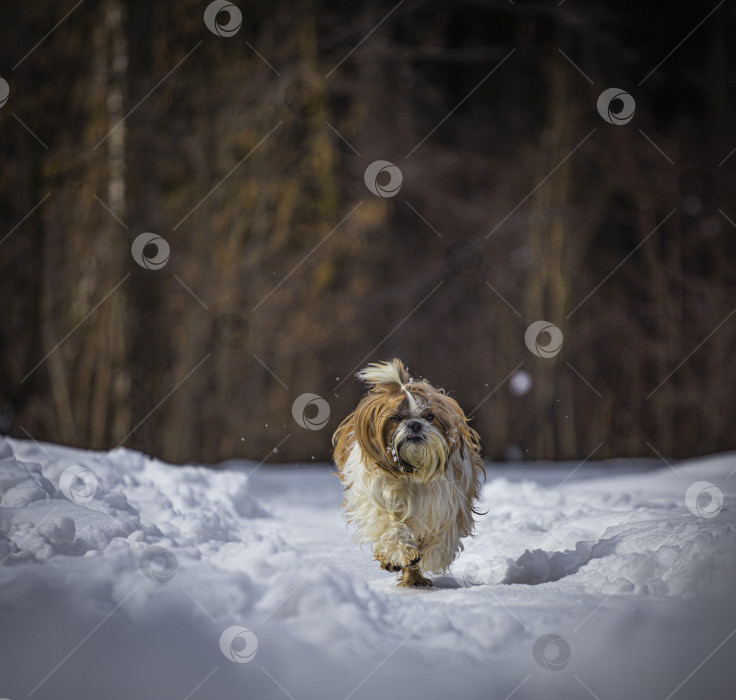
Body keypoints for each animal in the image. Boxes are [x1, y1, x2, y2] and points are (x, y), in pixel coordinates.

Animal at [332, 360, 484, 584]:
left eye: (429, 416)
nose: (414, 424)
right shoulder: (375, 502)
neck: (412, 472)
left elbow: (442, 539)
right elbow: (390, 528)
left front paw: (430, 558)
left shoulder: (450, 505)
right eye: (396, 418)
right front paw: (404, 553)